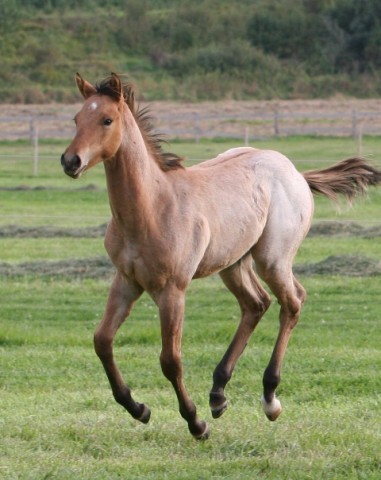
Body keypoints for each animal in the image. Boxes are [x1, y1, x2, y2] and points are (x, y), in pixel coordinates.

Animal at [60, 74, 378, 438]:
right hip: (233, 263)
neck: (152, 208)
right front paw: (138, 408)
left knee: (292, 302)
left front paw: (195, 422)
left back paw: (269, 397)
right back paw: (218, 393)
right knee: (256, 304)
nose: (70, 161)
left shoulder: (173, 290)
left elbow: (170, 360)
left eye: (106, 120)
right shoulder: (126, 281)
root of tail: (297, 173)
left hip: (272, 259)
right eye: (76, 119)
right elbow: (102, 341)